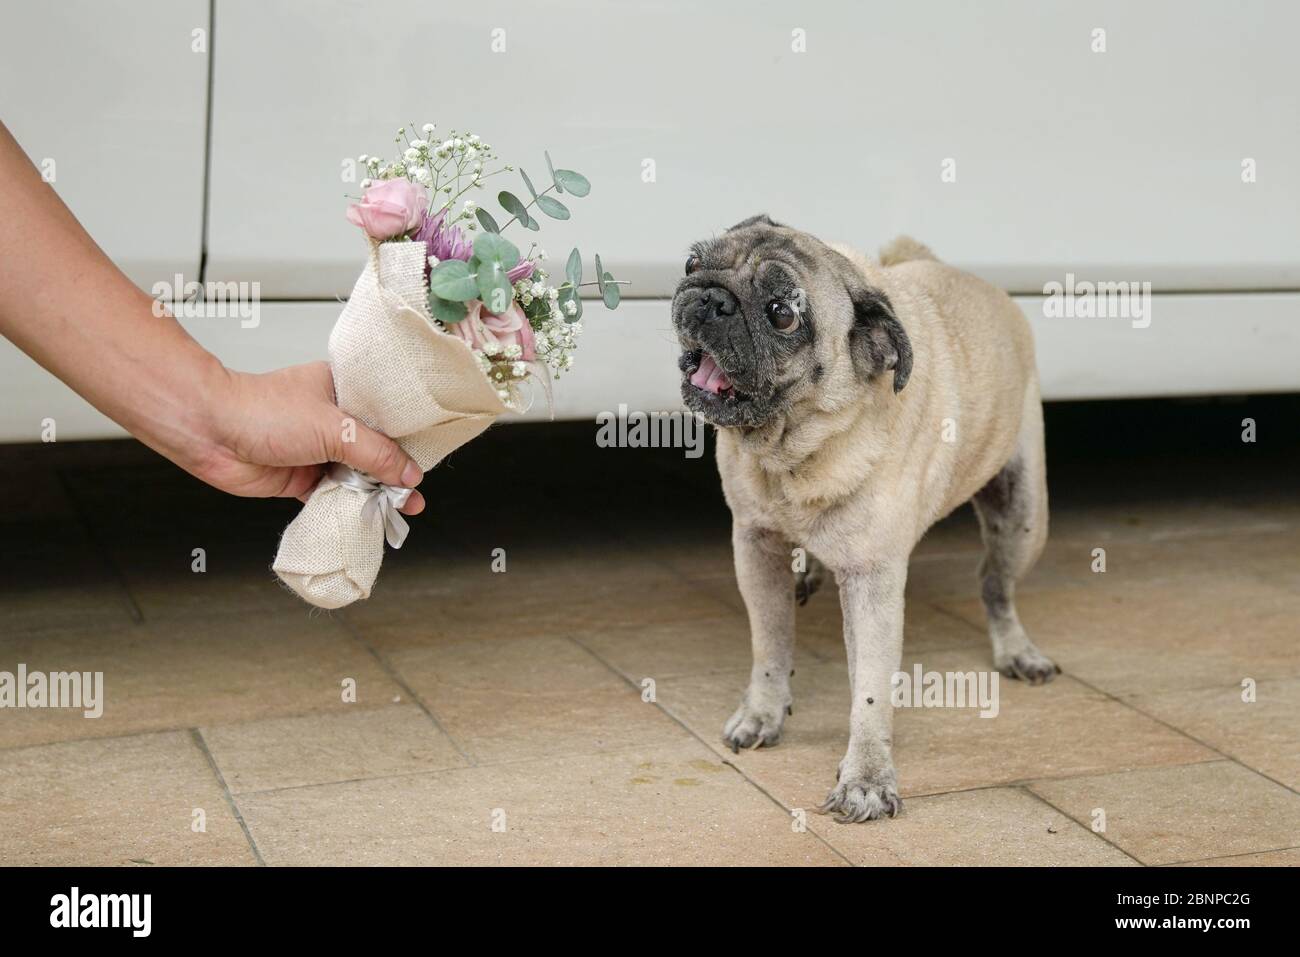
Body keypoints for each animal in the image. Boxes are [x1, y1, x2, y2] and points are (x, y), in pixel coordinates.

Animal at [676, 217, 1060, 821]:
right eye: (692, 263)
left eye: (782, 314)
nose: (711, 297)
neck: (796, 454)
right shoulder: (755, 546)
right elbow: (769, 645)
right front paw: (762, 713)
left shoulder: (873, 581)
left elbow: (871, 690)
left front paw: (867, 778)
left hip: (1022, 516)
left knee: (995, 585)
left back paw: (1017, 650)